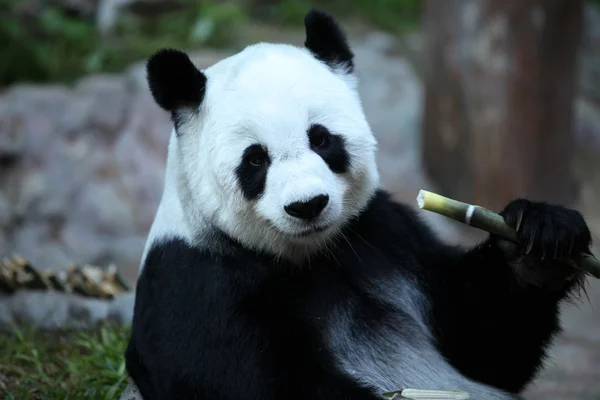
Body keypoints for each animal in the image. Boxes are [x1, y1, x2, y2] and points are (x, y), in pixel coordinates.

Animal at [125, 7, 592, 400]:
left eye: (321, 139)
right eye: (255, 160)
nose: (307, 206)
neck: (307, 255)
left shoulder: (386, 236)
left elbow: (484, 346)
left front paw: (538, 241)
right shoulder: (196, 285)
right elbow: (261, 383)